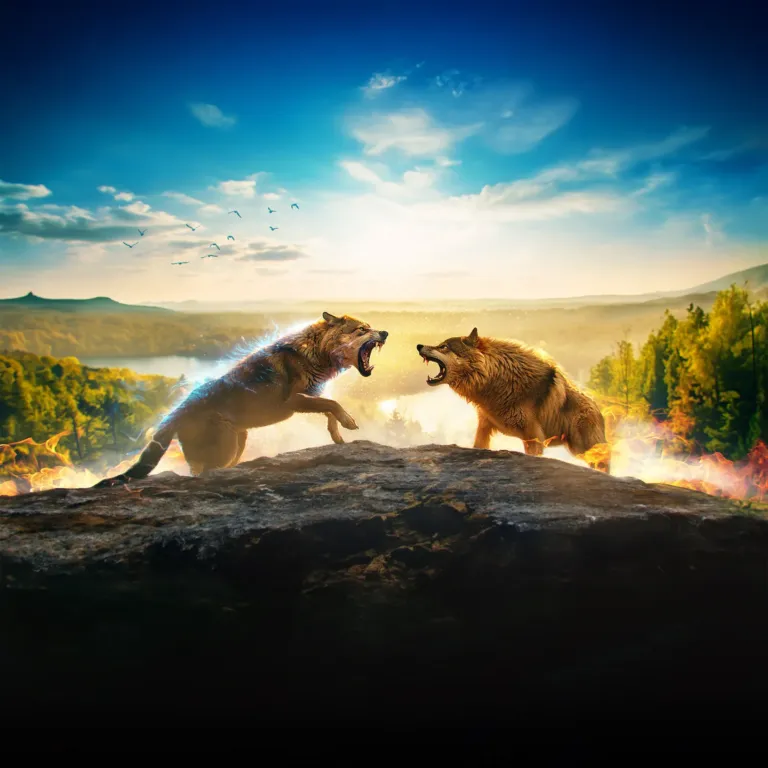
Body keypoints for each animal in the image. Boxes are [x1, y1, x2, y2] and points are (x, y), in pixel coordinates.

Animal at [94, 312, 388, 487]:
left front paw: (337, 435)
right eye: (363, 329)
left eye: (371, 327)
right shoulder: (292, 401)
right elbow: (332, 404)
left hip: (238, 444)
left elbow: (328, 409)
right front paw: (348, 422)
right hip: (225, 449)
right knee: (203, 473)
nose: (385, 333)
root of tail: (174, 412)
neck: (315, 353)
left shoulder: (310, 396)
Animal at [416, 328, 610, 472]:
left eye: (443, 347)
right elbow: (478, 446)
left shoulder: (533, 436)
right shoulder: (484, 425)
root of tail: (598, 409)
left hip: (584, 448)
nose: (418, 345)